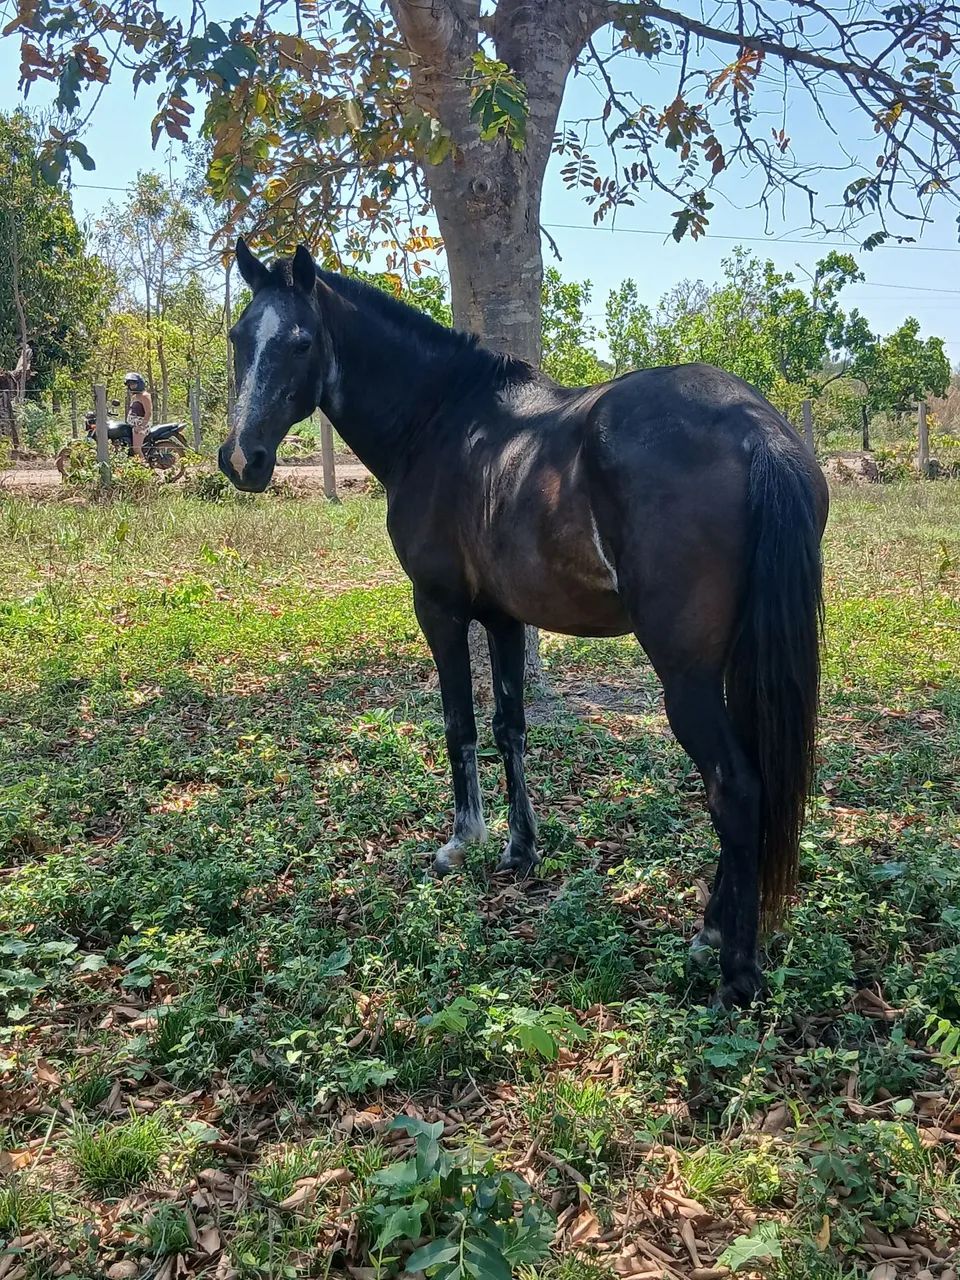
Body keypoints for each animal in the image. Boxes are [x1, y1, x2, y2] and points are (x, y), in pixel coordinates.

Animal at [219, 239, 828, 1008]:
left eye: (299, 342)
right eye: (239, 339)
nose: (241, 459)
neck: (444, 422)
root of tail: (757, 430)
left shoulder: (440, 609)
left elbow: (459, 724)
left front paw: (462, 842)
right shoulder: (505, 620)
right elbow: (510, 729)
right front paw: (520, 849)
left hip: (686, 676)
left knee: (735, 788)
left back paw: (735, 972)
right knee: (755, 781)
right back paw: (714, 930)